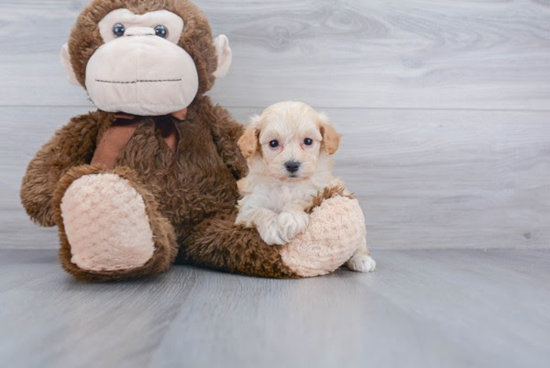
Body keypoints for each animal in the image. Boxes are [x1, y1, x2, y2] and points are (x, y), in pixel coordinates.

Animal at [235, 100, 378, 274]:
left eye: (308, 141)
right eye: (273, 143)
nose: (292, 165)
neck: (287, 185)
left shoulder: (319, 190)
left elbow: (301, 200)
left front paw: (291, 218)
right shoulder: (247, 207)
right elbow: (259, 212)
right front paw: (274, 228)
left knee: (360, 243)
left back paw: (362, 259)